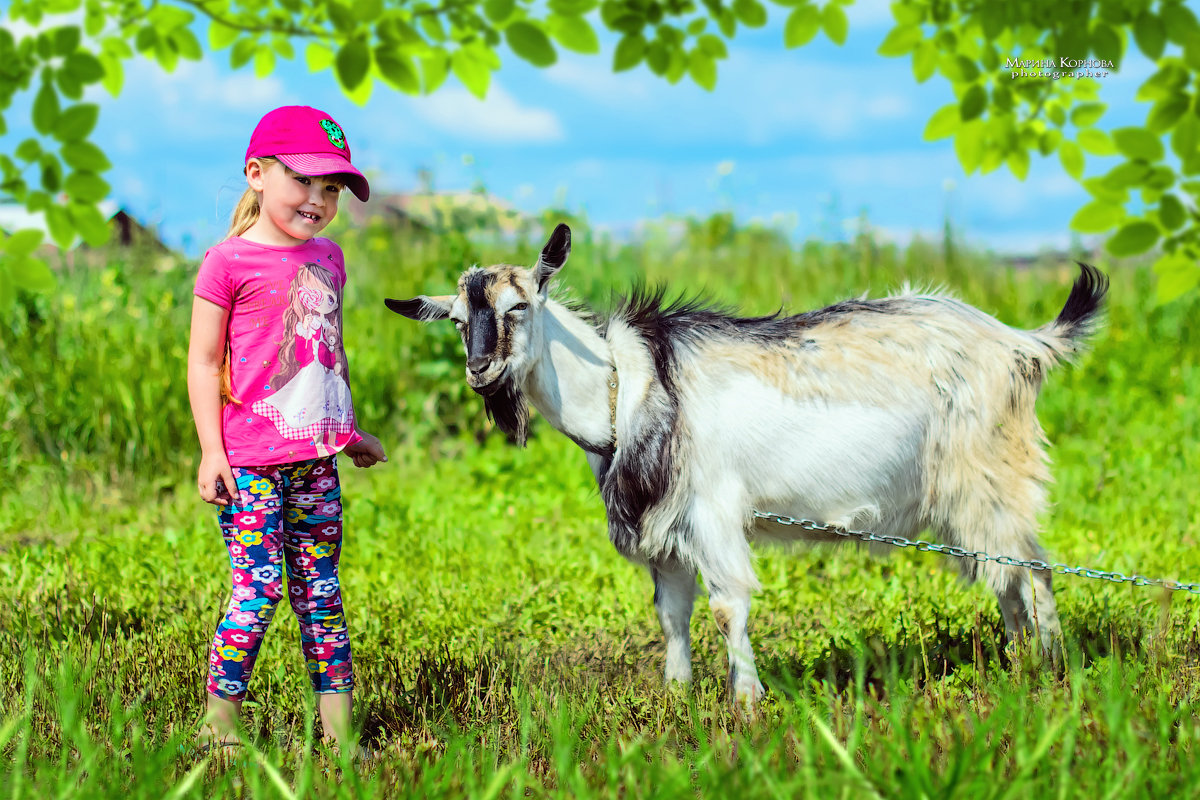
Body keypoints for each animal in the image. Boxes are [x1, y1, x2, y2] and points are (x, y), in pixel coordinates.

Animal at [386, 225, 1104, 714]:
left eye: (519, 307)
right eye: (457, 321)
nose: (480, 370)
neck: (627, 388)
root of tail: (1022, 344)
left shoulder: (710, 511)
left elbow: (727, 605)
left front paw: (747, 701)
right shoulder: (663, 531)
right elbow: (672, 614)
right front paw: (677, 694)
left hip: (993, 472)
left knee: (1032, 566)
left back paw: (1049, 667)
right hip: (967, 494)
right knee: (1004, 572)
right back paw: (1017, 663)